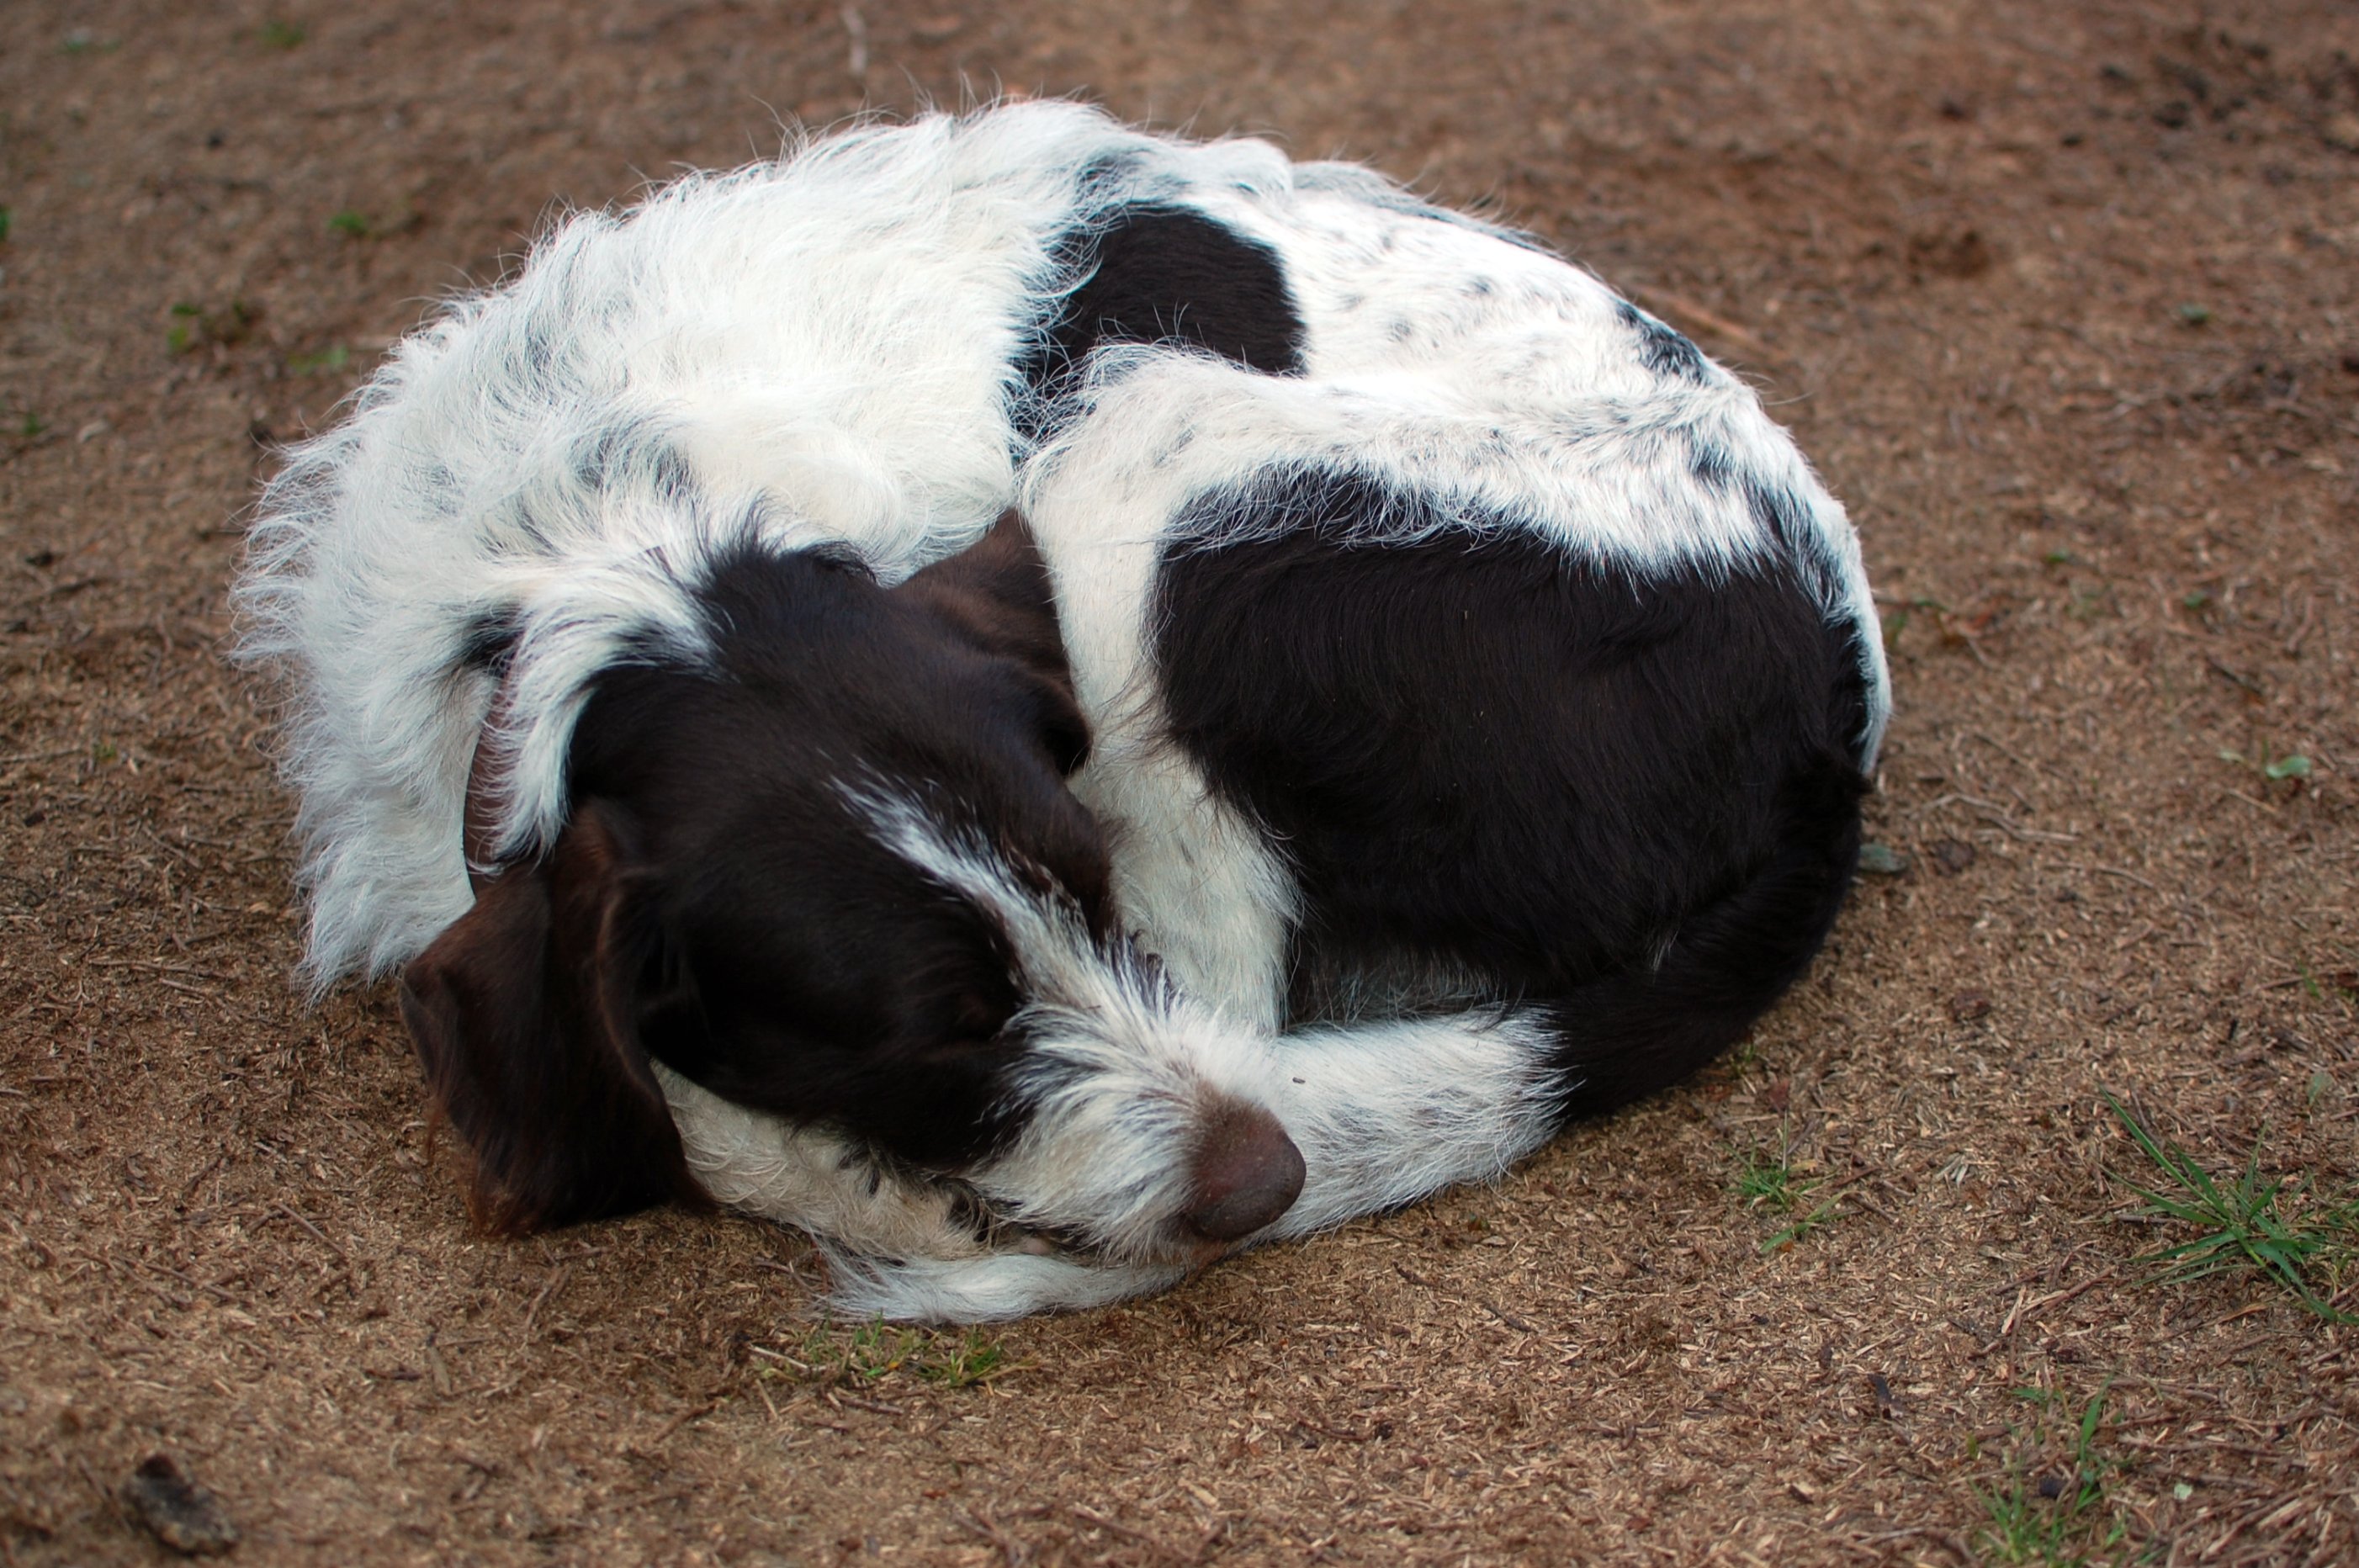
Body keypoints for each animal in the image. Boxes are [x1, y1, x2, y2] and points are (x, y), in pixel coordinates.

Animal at [239, 100, 1887, 1320]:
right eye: (936, 1024)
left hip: (1150, 455)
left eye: (1093, 896)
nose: (1259, 1186)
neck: (614, 552)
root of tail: (1834, 719)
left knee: (1237, 993)